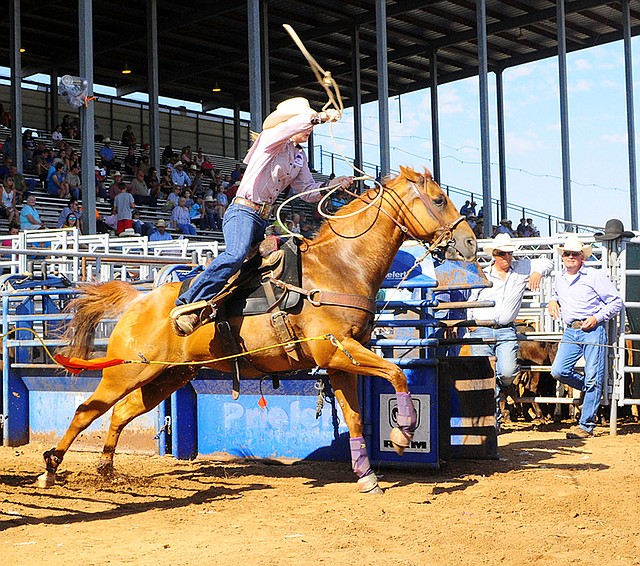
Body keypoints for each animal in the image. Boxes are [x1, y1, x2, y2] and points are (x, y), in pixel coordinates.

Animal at [43, 166, 476, 494]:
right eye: (439, 200)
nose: (470, 243)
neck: (340, 266)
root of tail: (138, 300)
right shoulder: (337, 349)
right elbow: (397, 373)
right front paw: (403, 434)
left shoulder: (342, 361)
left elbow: (355, 417)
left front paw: (367, 477)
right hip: (126, 372)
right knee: (86, 410)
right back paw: (50, 468)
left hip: (165, 377)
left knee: (120, 413)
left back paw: (106, 472)